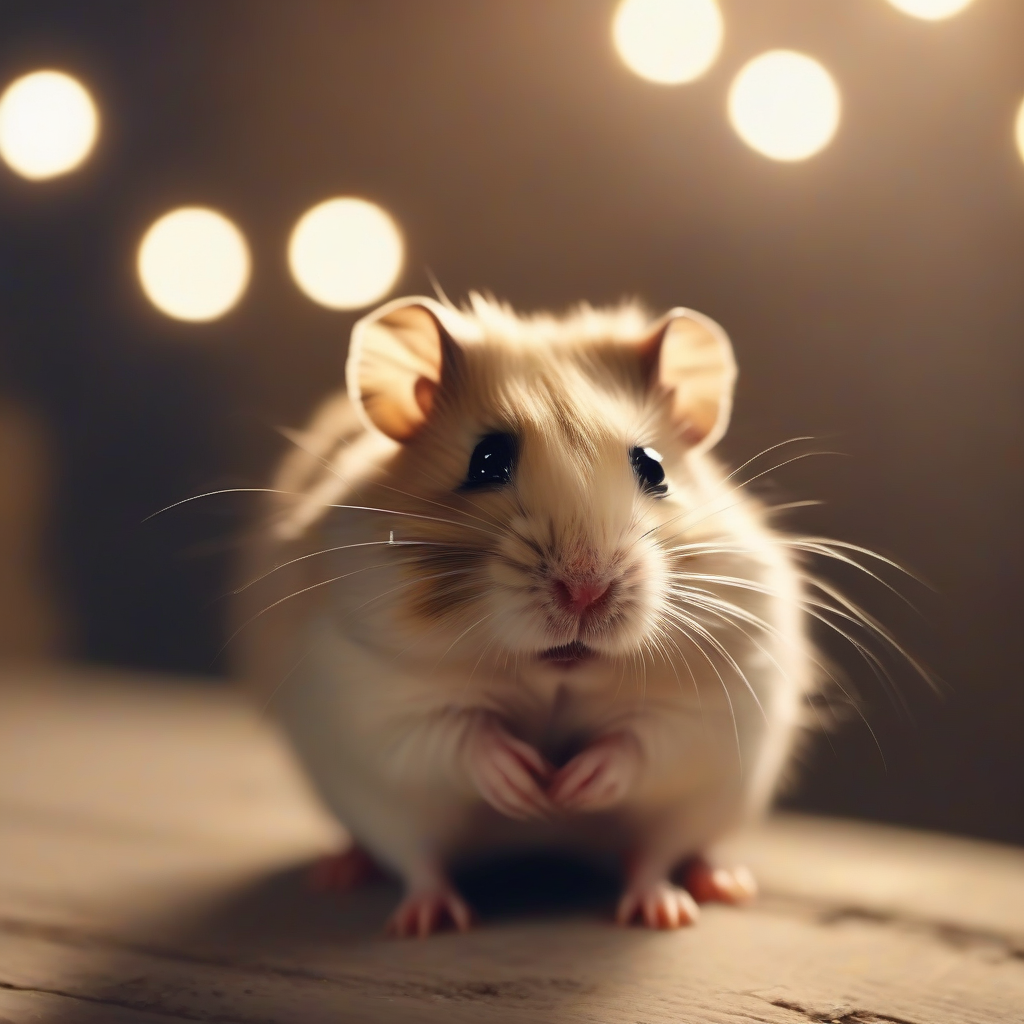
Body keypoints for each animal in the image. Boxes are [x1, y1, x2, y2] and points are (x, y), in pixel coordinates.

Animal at [238, 293, 814, 936]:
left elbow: (642, 739)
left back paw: (687, 901)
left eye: (656, 467)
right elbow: (457, 733)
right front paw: (531, 788)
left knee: (656, 856)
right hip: (387, 813)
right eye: (486, 460)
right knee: (418, 861)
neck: (554, 674)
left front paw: (571, 788)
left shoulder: (712, 703)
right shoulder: (372, 695)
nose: (586, 591)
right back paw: (402, 908)